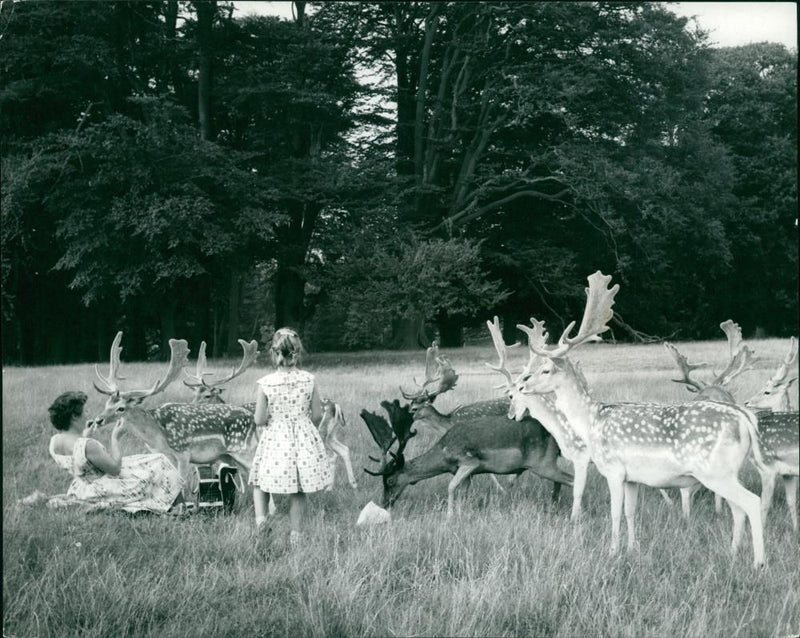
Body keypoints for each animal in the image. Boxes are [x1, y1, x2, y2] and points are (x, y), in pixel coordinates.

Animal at [362, 400, 568, 520]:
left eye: (389, 480)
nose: (385, 503)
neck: (444, 452)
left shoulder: (469, 461)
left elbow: (451, 487)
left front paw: (449, 516)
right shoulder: (468, 473)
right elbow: (464, 492)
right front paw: (462, 513)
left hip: (542, 463)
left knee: (569, 479)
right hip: (547, 463)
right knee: (559, 482)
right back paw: (554, 506)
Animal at [512, 272, 768, 568]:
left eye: (546, 369)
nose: (523, 386)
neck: (590, 422)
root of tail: (745, 420)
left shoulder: (613, 469)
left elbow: (614, 513)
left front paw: (611, 552)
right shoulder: (631, 477)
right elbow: (630, 513)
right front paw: (632, 549)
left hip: (715, 471)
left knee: (751, 502)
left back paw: (759, 563)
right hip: (727, 471)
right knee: (738, 508)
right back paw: (733, 553)